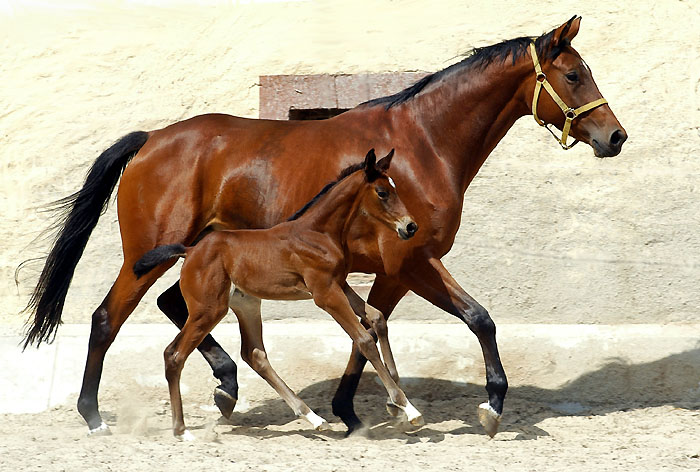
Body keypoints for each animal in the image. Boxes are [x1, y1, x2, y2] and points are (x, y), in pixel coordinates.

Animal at [132, 150, 422, 438]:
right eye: (382, 192)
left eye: (394, 188)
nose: (410, 227)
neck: (319, 233)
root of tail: (190, 251)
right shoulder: (325, 294)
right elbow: (364, 339)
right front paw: (408, 409)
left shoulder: (340, 285)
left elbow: (378, 317)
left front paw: (394, 405)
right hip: (208, 310)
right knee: (174, 355)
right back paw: (181, 430)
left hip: (246, 305)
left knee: (254, 354)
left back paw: (314, 418)